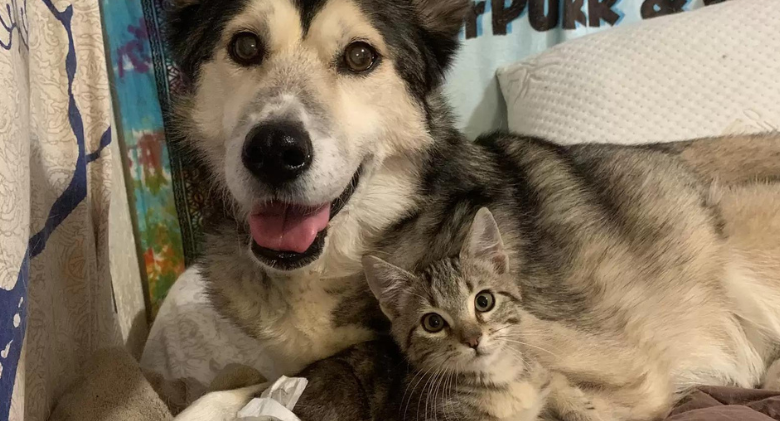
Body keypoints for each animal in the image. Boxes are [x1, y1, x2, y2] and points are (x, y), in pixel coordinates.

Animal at [292, 209, 596, 420]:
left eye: (483, 301)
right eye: (433, 322)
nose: (473, 340)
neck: (501, 378)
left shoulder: (537, 373)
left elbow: (553, 378)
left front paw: (580, 406)